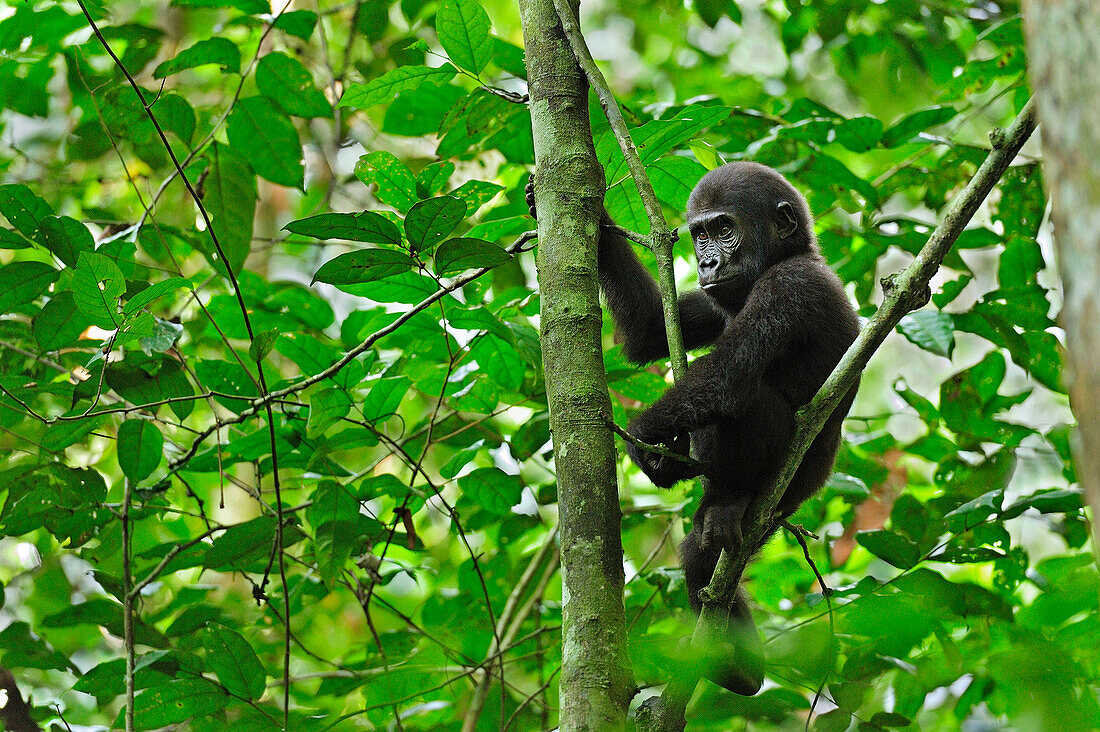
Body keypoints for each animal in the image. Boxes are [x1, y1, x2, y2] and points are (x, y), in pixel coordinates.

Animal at [525, 162, 858, 695]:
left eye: (724, 229)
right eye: (699, 234)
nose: (707, 263)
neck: (788, 255)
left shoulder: (790, 286)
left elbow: (725, 378)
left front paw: (644, 443)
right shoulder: (714, 303)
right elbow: (648, 328)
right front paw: (574, 204)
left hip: (786, 488)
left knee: (747, 398)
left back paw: (732, 500)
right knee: (701, 554)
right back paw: (737, 661)